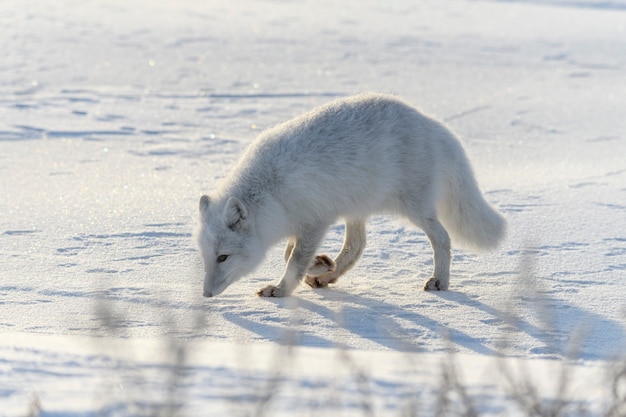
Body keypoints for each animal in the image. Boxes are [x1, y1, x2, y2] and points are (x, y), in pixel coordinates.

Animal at [197, 93, 504, 298]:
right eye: (206, 257)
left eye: (223, 257)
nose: (206, 295)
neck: (270, 190)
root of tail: (433, 125)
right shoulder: (303, 223)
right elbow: (290, 254)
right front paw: (320, 266)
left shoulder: (315, 221)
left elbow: (294, 259)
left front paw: (281, 289)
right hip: (356, 207)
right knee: (357, 246)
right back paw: (329, 275)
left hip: (414, 207)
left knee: (442, 238)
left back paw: (440, 281)